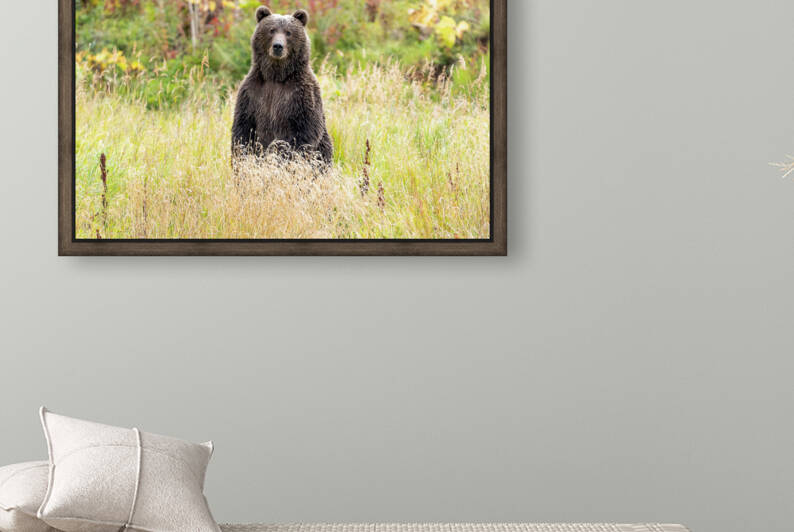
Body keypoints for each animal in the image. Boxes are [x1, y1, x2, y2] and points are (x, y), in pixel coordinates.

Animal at [231, 6, 333, 165]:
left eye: (288, 32)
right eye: (272, 30)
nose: (278, 46)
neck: (276, 75)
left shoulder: (301, 93)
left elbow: (304, 131)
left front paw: (284, 158)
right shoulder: (251, 92)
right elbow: (243, 128)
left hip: (324, 147)